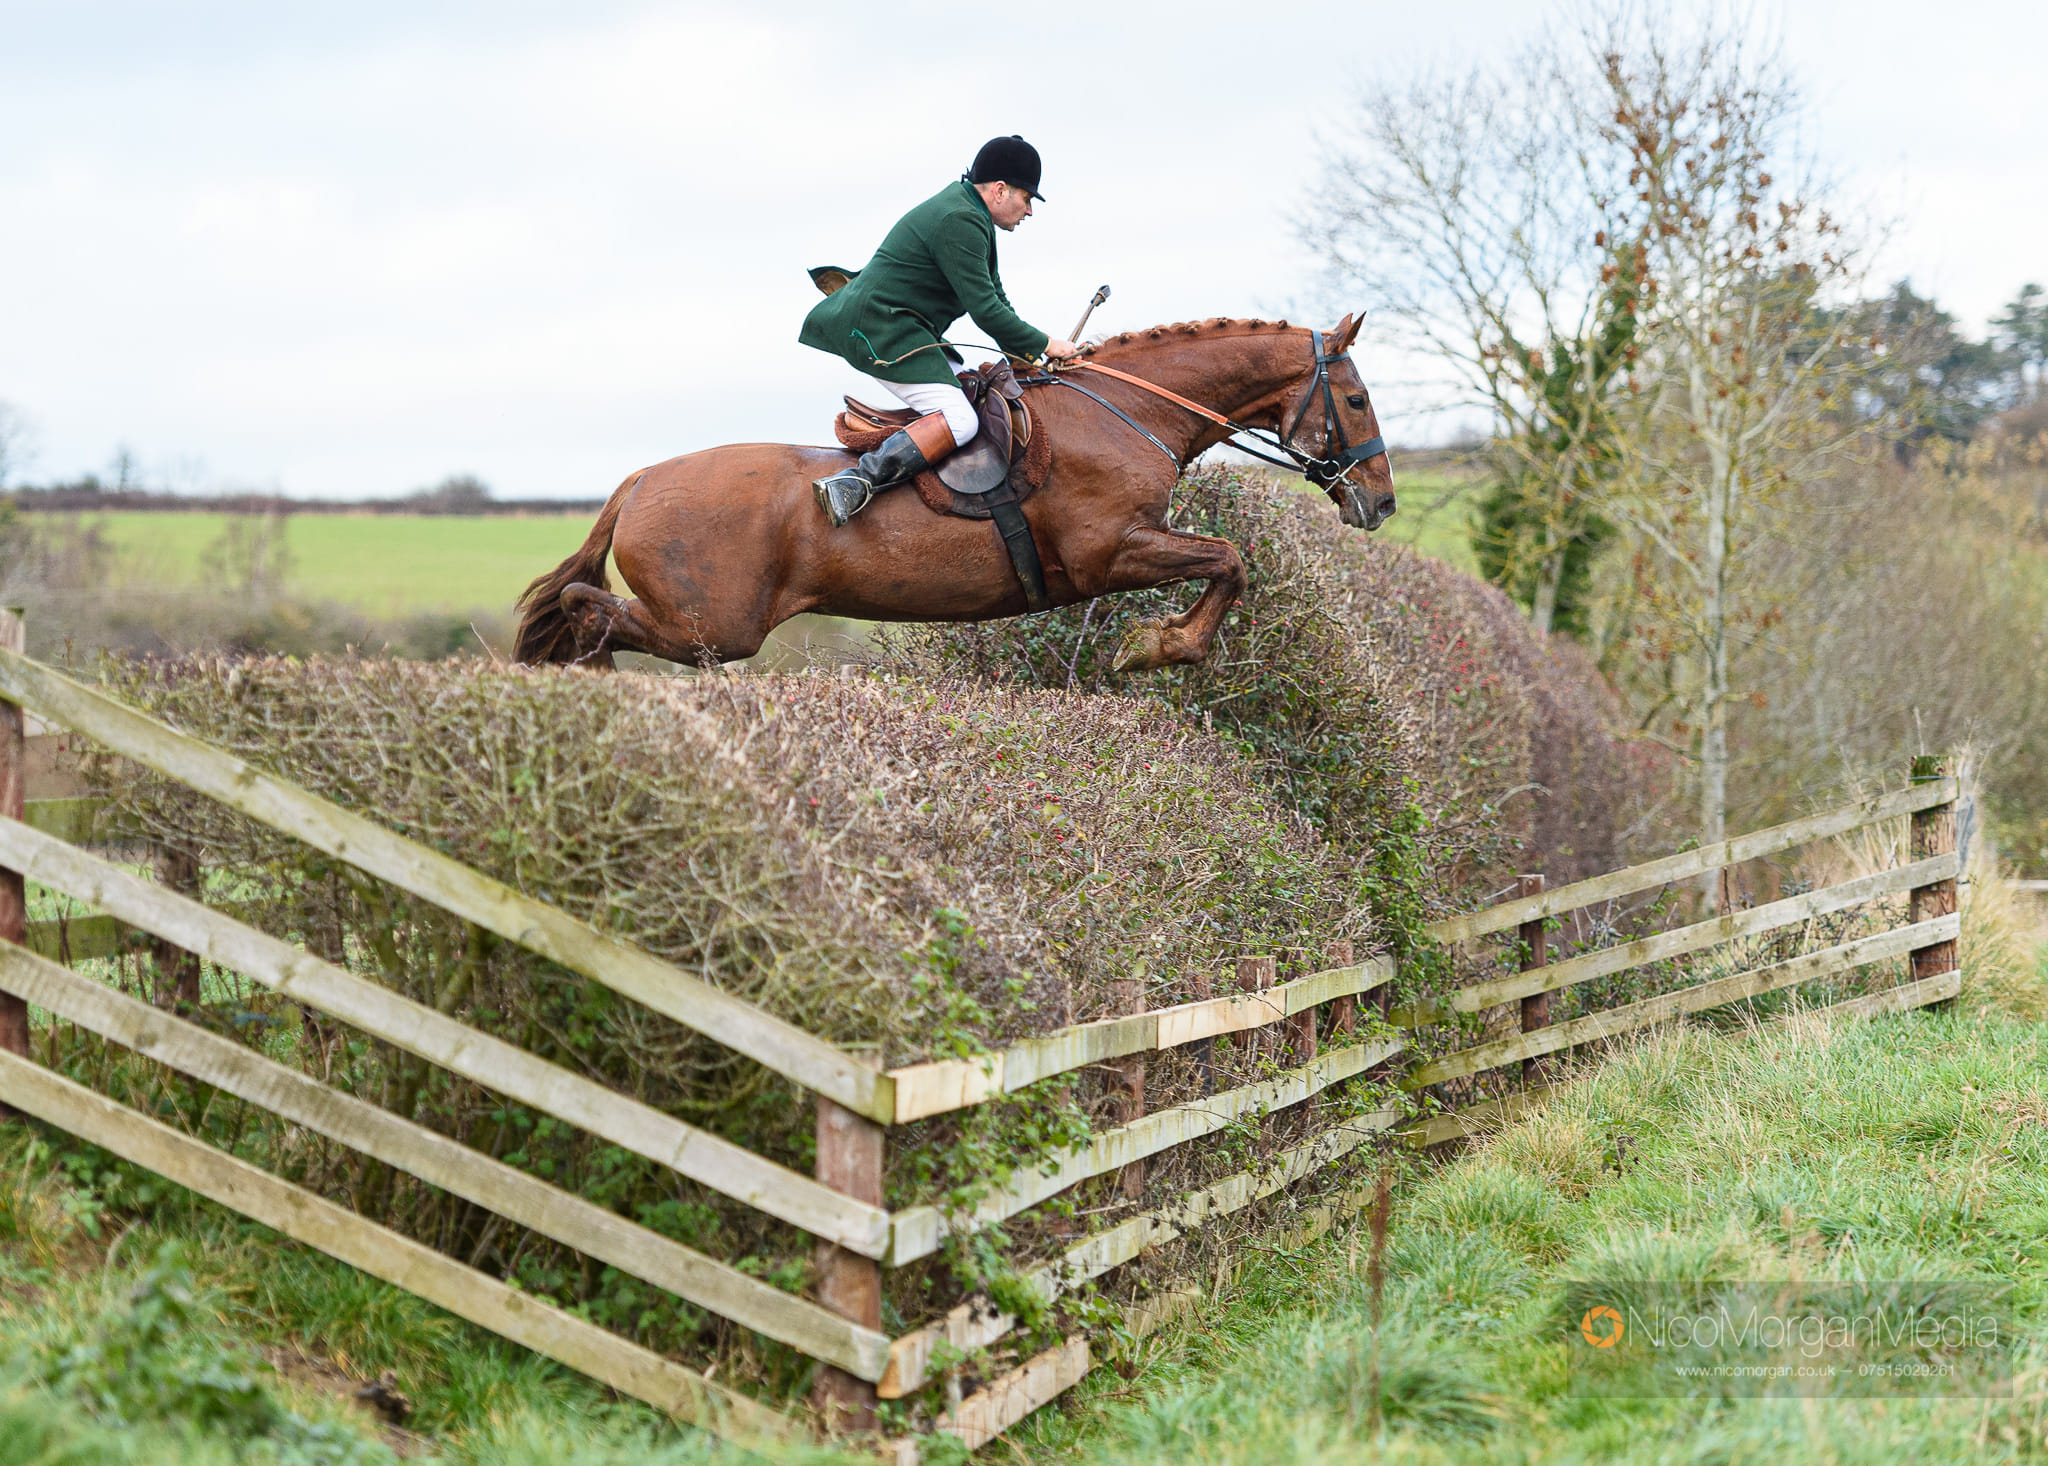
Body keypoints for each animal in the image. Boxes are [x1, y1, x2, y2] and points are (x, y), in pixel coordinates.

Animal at [520, 317, 1400, 671]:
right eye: (1358, 401)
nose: (1381, 503)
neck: (1128, 411)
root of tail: (643, 478)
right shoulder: (1107, 554)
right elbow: (1229, 559)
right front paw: (1157, 647)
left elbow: (1227, 562)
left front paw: (1160, 643)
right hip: (715, 626)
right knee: (582, 608)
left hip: (708, 626)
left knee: (581, 610)